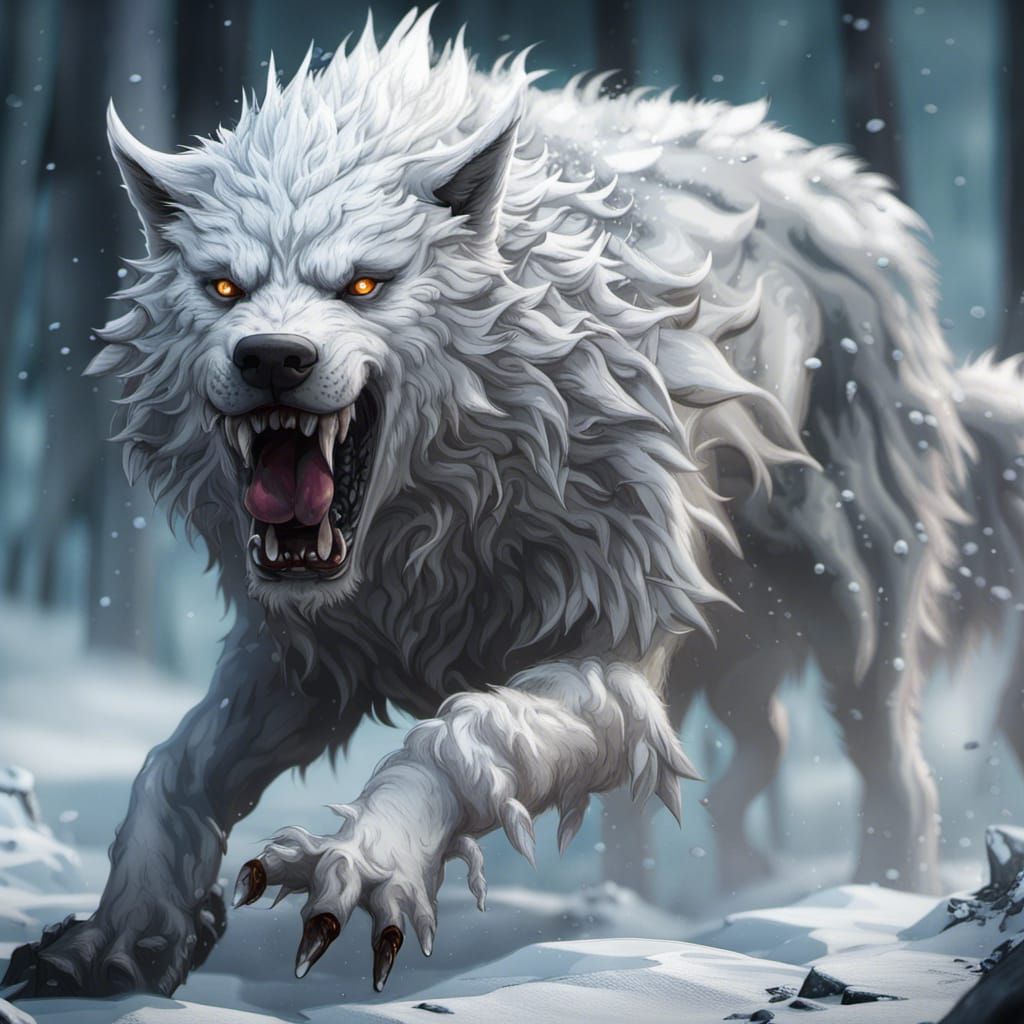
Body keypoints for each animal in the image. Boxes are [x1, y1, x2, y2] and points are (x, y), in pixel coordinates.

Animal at [3, 10, 978, 997]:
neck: (433, 525)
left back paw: (878, 903)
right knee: (755, 761)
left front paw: (370, 862)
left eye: (364, 284)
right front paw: (119, 938)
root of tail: (855, 186)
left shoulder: (606, 653)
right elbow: (173, 766)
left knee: (896, 771)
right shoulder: (310, 656)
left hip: (856, 612)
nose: (272, 356)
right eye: (224, 286)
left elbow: (466, 737)